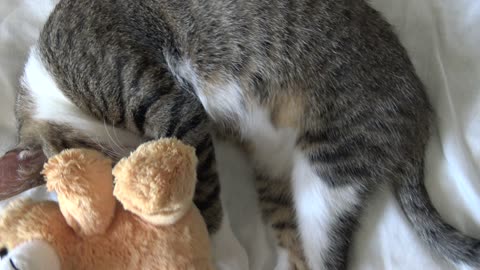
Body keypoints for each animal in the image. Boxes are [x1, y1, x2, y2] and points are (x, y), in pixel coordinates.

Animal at [0, 0, 480, 270]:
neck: (52, 86)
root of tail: (420, 111)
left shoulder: (172, 106)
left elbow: (204, 191)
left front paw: (224, 252)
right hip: (275, 172)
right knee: (297, 241)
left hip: (333, 161)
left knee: (329, 252)